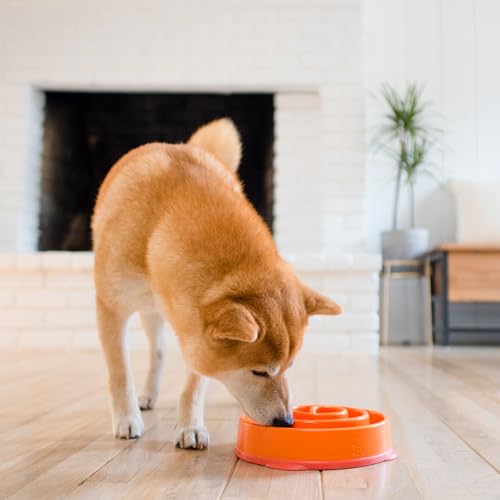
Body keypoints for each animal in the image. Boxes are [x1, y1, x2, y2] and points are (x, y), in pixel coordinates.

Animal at [92, 118, 342, 450]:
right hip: (146, 311)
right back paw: (145, 397)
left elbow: (195, 384)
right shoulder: (111, 307)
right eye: (259, 372)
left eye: (289, 367)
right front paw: (126, 419)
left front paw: (190, 427)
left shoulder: (193, 330)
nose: (286, 422)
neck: (160, 222)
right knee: (157, 352)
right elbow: (119, 372)